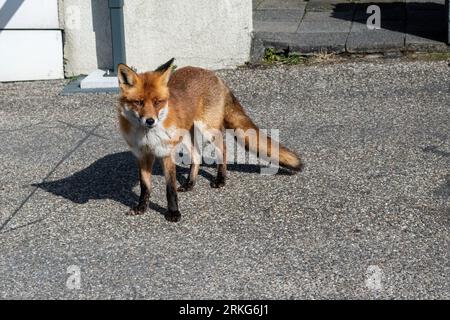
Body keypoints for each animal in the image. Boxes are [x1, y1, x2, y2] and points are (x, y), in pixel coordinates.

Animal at [117, 58, 302, 222]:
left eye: (158, 102)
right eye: (138, 102)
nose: (150, 121)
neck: (148, 135)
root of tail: (213, 74)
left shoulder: (165, 153)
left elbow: (170, 189)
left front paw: (174, 212)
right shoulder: (143, 155)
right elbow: (145, 186)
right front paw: (141, 207)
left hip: (208, 130)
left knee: (223, 149)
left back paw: (220, 180)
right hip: (186, 136)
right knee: (197, 156)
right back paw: (190, 183)